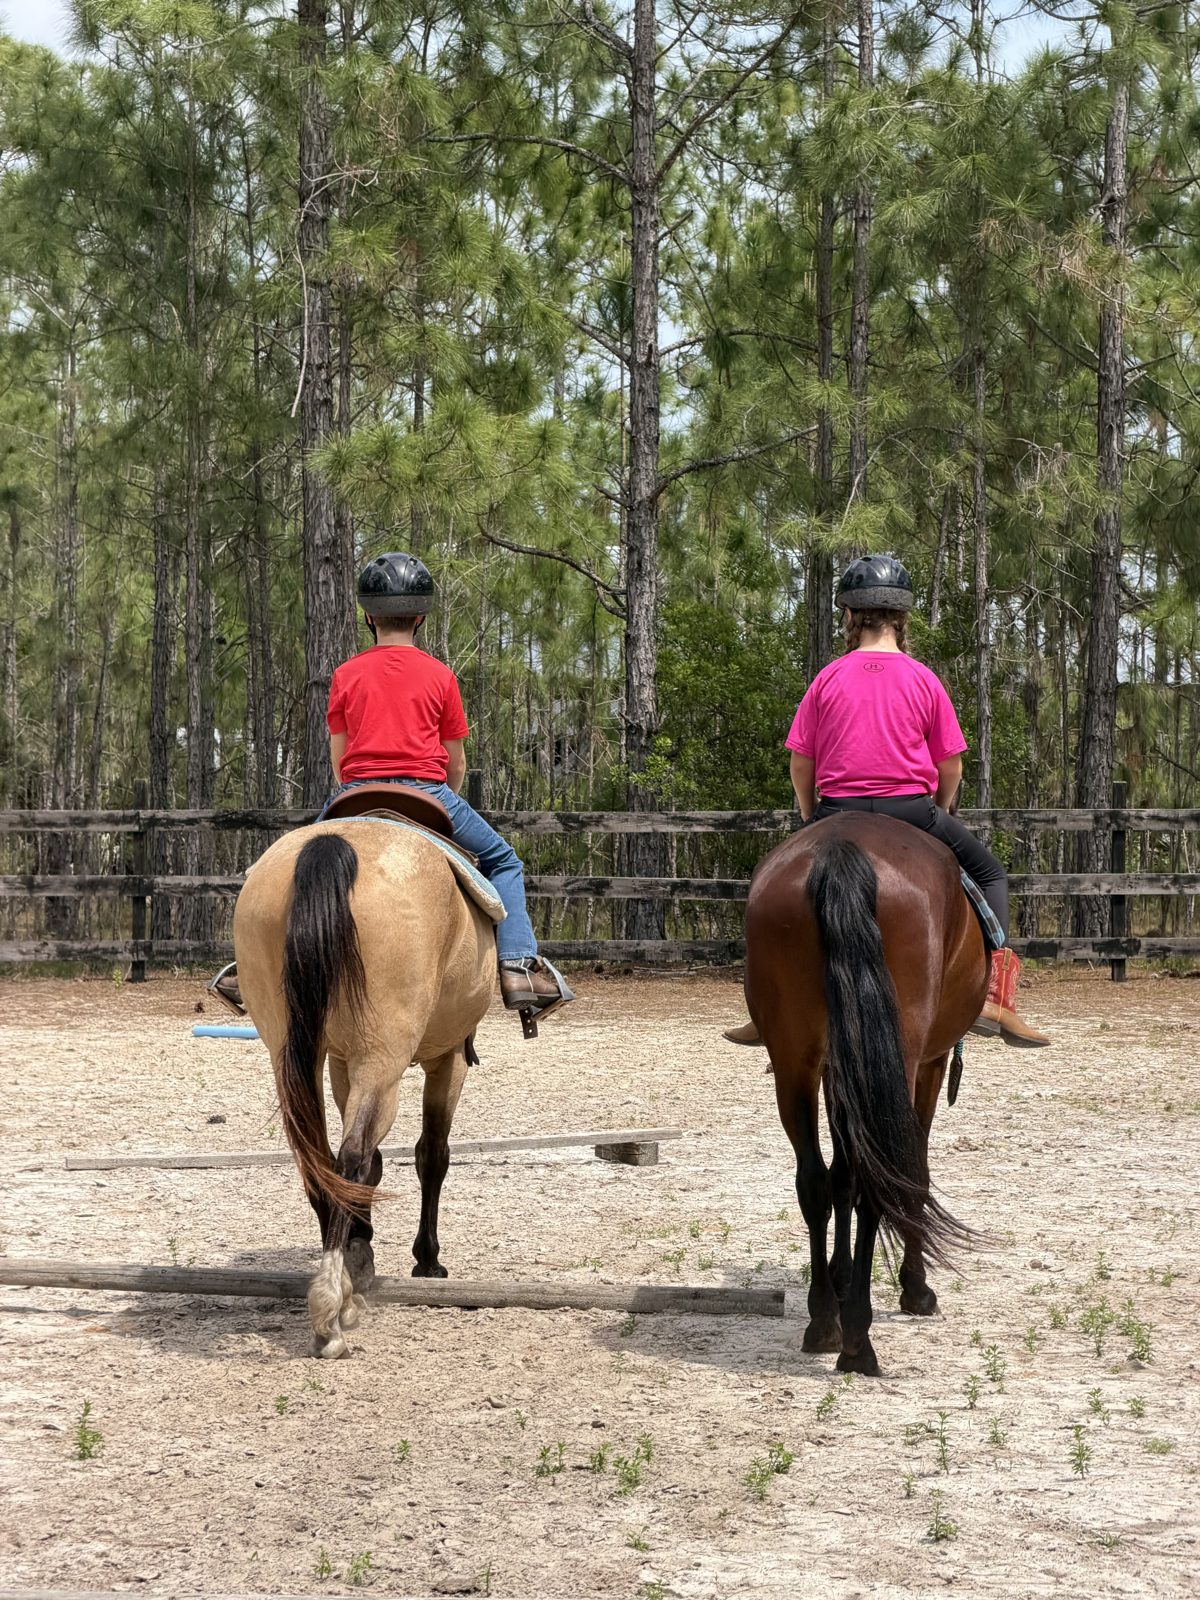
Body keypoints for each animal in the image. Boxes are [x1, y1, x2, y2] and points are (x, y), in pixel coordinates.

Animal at [233, 821, 495, 1358]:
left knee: (321, 1160)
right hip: (382, 1056)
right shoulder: (449, 1059)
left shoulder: (339, 1063)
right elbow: (430, 1155)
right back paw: (331, 1312)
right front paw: (427, 1261)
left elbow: (370, 1166)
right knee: (350, 1155)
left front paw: (362, 1250)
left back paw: (340, 1286)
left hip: (294, 1052)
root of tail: (331, 846)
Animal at [743, 812, 987, 1375]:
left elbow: (840, 1175)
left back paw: (823, 1322)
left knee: (814, 1179)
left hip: (795, 1057)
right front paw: (915, 1290)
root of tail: (841, 849)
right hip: (898, 1054)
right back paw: (858, 1339)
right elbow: (911, 1171)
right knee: (882, 1178)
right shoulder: (928, 1065)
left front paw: (838, 1275)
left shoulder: (839, 1069)